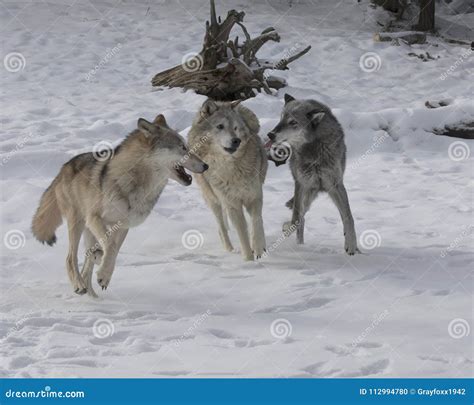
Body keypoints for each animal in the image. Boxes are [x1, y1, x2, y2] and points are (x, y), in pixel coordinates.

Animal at [30, 115, 206, 296]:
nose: (206, 166)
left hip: (88, 229)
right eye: (183, 148)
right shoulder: (95, 217)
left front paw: (104, 274)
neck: (136, 182)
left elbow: (114, 250)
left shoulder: (122, 226)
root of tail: (63, 168)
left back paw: (92, 292)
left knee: (87, 263)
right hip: (78, 222)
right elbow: (110, 246)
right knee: (70, 258)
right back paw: (79, 284)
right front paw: (103, 272)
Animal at [189, 99, 270, 260]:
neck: (231, 169)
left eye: (235, 128)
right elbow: (242, 234)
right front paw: (248, 260)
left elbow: (256, 222)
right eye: (220, 126)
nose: (236, 140)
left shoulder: (254, 196)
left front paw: (258, 248)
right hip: (213, 200)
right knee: (221, 228)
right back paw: (229, 250)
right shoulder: (232, 204)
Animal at [266, 93, 360, 254]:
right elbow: (296, 219)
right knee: (300, 217)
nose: (270, 134)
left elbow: (348, 217)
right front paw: (291, 235)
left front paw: (351, 245)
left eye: (293, 122)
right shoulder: (301, 184)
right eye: (281, 118)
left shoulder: (336, 185)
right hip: (307, 192)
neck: (314, 147)